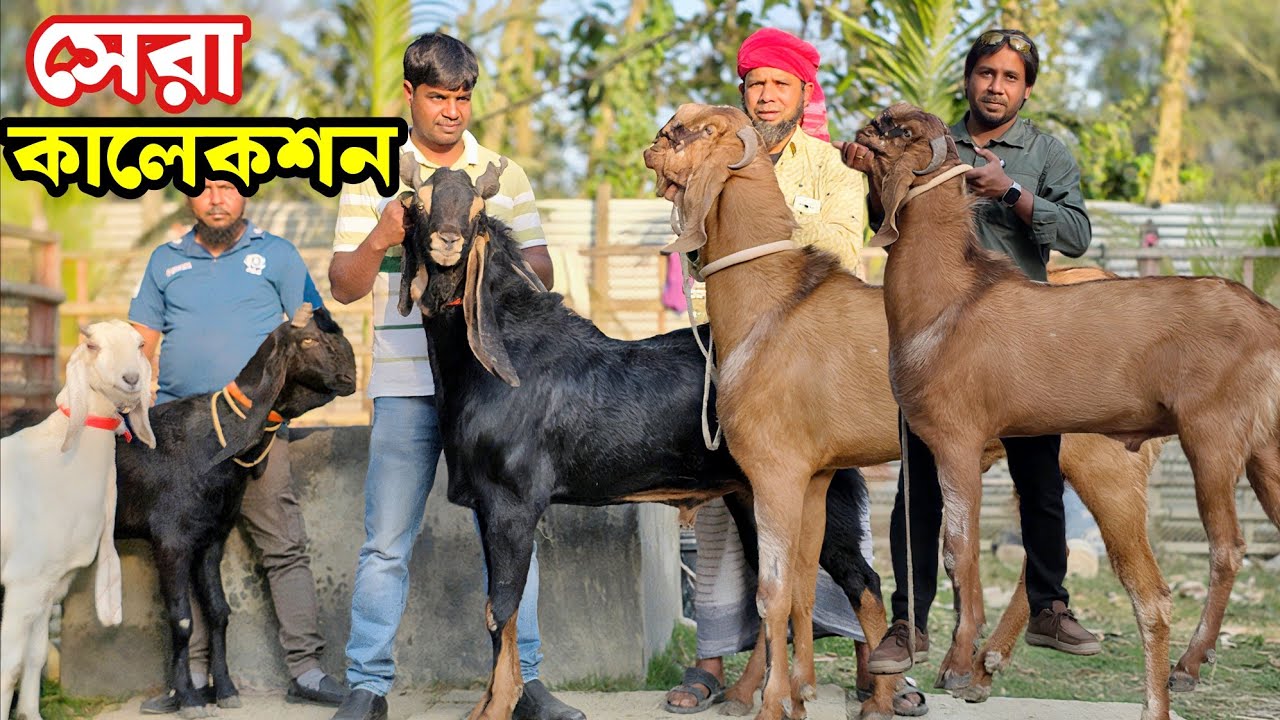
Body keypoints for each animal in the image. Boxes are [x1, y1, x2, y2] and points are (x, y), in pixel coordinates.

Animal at [2, 320, 155, 720]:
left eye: (139, 344)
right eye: (92, 346)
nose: (132, 378)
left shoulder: (50, 582)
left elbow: (36, 656)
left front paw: (30, 713)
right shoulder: (24, 582)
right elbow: (9, 668)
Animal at [394, 159, 896, 720]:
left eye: (478, 212)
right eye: (417, 204)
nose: (447, 241)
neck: (501, 360)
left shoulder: (513, 501)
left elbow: (500, 607)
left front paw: (497, 706)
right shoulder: (487, 505)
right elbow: (495, 607)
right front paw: (485, 705)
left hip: (815, 489)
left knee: (863, 582)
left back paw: (881, 699)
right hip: (754, 497)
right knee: (778, 588)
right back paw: (747, 694)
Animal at [640, 104, 1227, 720]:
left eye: (693, 131)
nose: (655, 141)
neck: (771, 306)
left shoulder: (774, 470)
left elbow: (773, 592)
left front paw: (774, 702)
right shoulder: (816, 474)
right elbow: (801, 586)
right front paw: (798, 692)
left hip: (1107, 467)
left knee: (1147, 589)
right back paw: (986, 664)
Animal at [853, 102, 1280, 720]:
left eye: (899, 129)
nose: (863, 129)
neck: (951, 299)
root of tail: (1267, 317)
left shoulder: (957, 439)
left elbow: (959, 548)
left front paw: (956, 663)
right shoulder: (926, 443)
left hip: (1204, 444)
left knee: (1212, 558)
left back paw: (1184, 669)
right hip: (1264, 452)